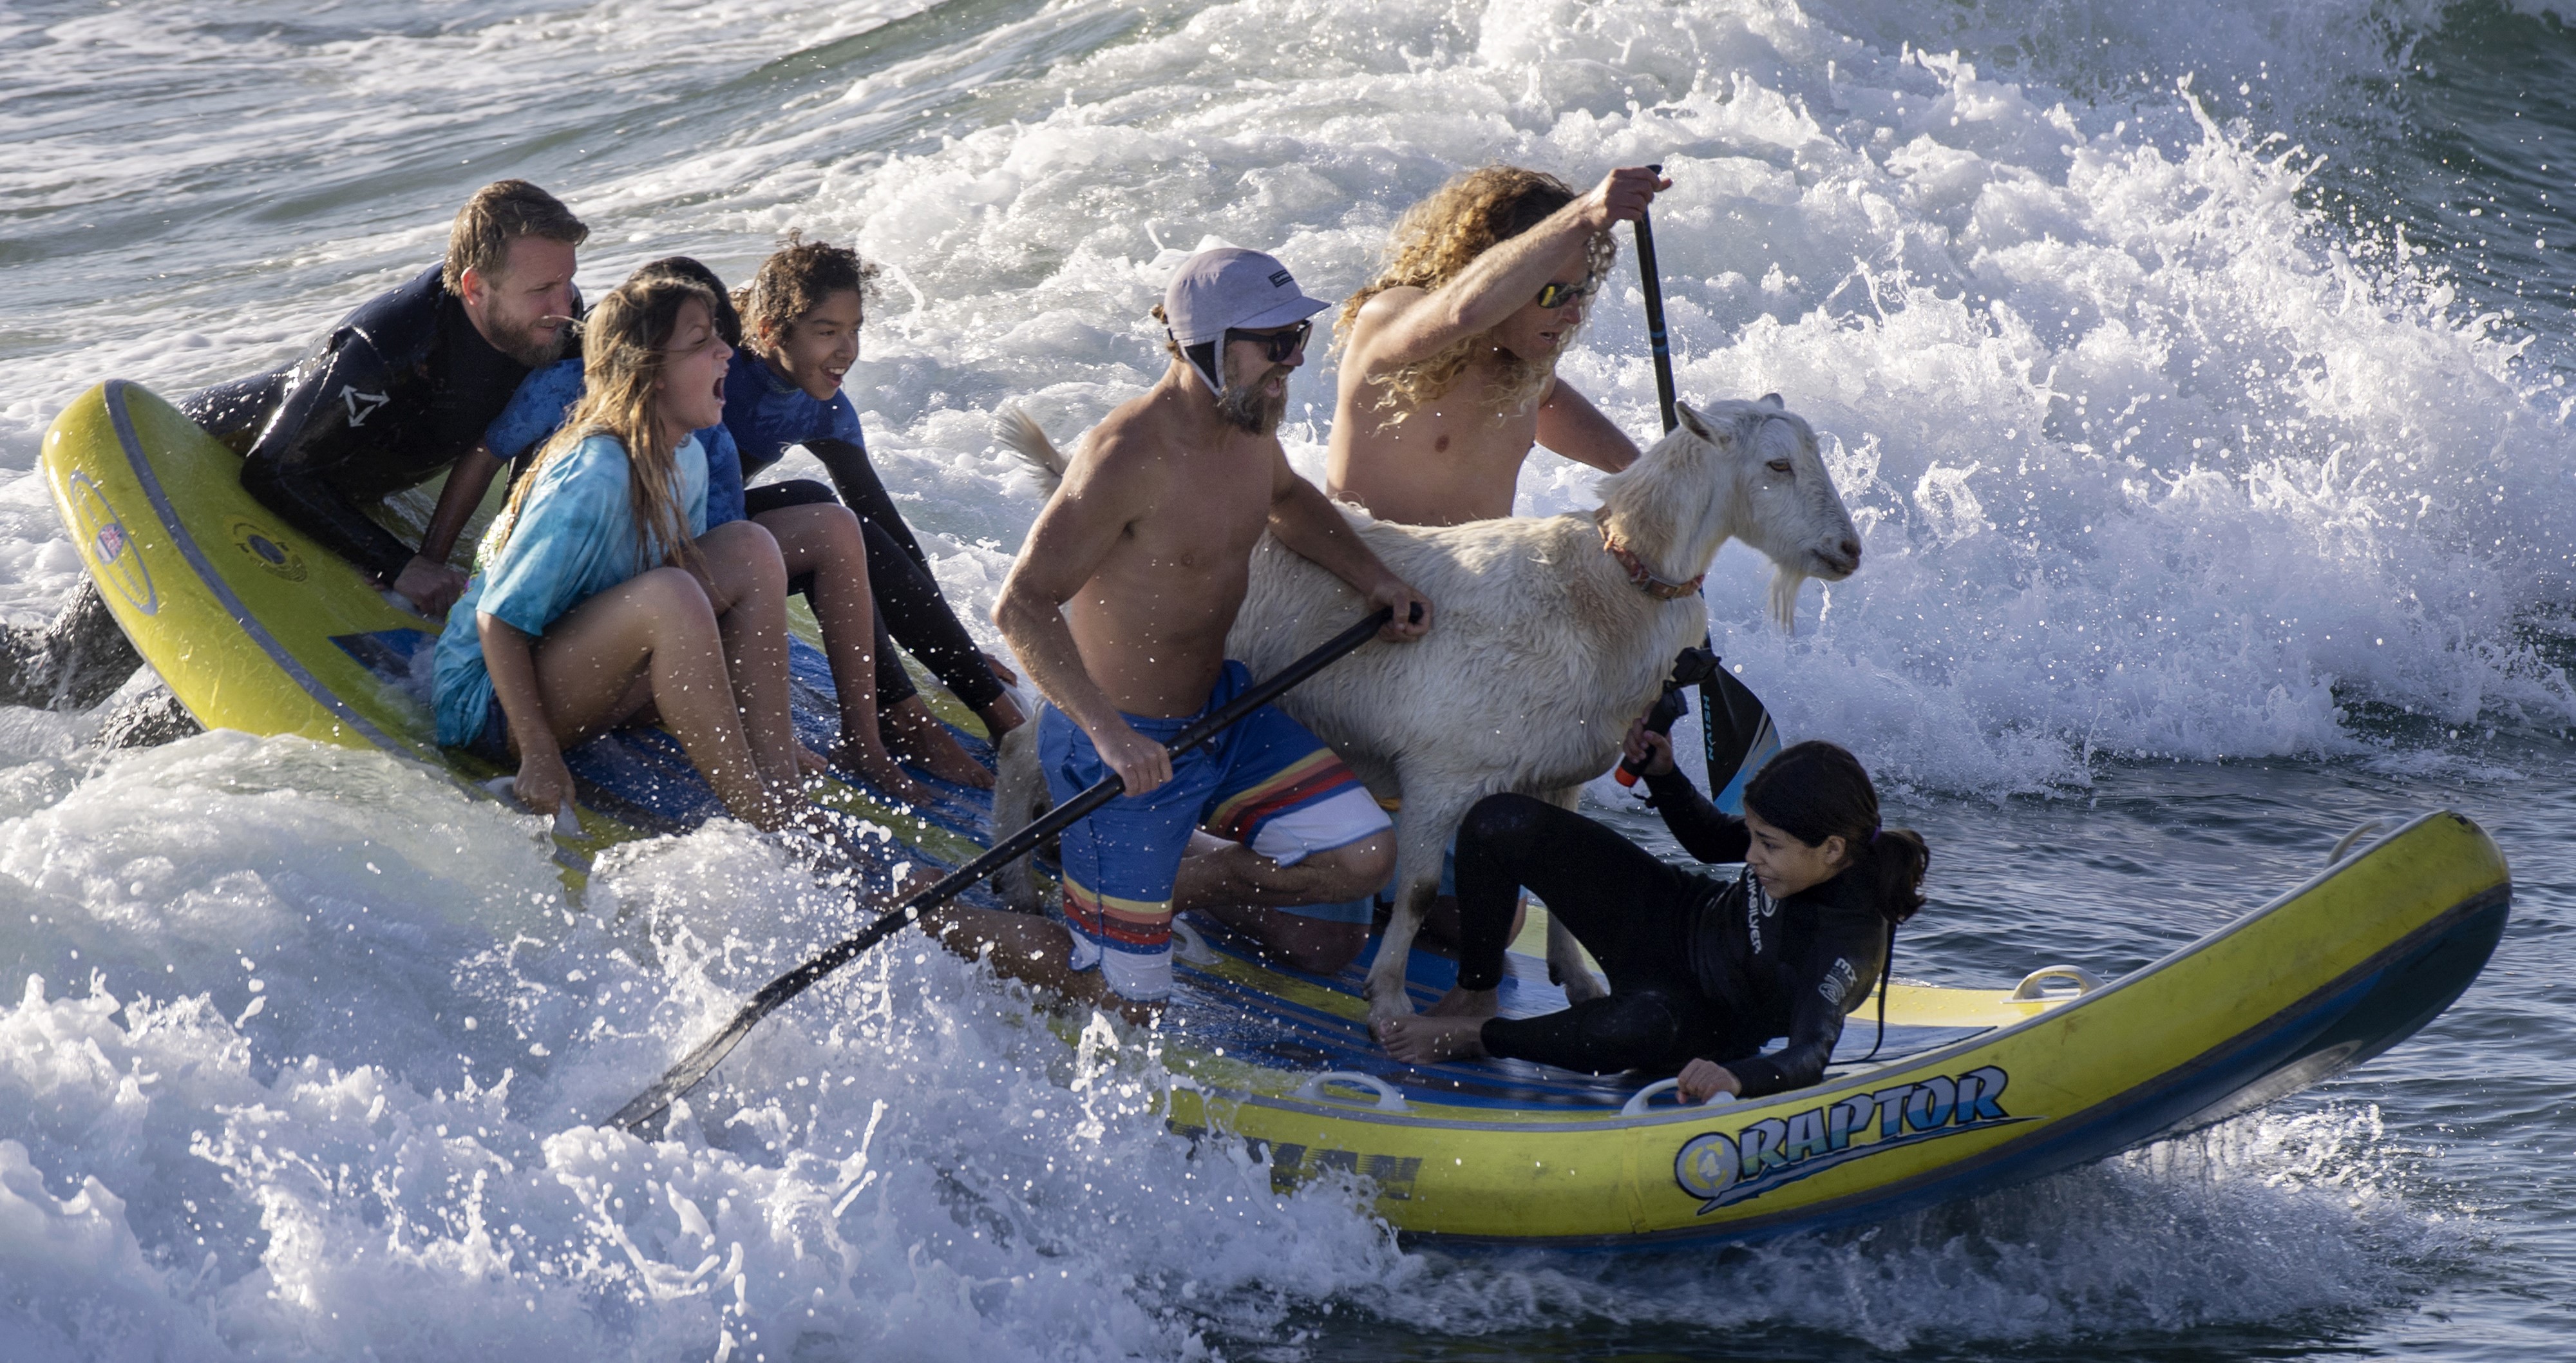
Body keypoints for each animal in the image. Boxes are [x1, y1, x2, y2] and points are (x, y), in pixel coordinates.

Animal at [984, 399, 1855, 1025]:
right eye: (1776, 465)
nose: (1847, 551)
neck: (1601, 590)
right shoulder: (1443, 770)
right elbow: (1415, 888)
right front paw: (1391, 998)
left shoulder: (1562, 772)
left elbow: (1559, 885)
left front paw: (1577, 979)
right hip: (1115, 688)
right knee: (1028, 744)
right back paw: (1017, 875)